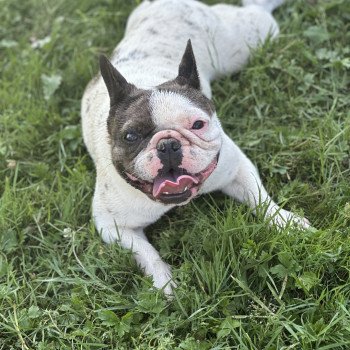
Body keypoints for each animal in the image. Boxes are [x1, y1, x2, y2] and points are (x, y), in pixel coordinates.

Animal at [81, 0, 308, 296]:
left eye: (198, 124)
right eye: (131, 136)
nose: (168, 144)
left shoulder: (236, 168)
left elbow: (261, 199)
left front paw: (286, 222)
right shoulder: (113, 226)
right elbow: (146, 253)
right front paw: (164, 282)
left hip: (250, 38)